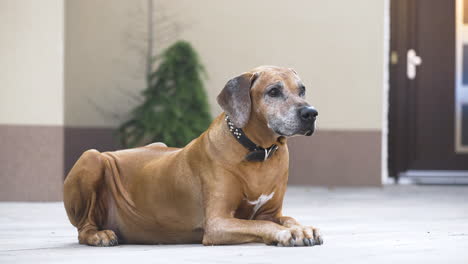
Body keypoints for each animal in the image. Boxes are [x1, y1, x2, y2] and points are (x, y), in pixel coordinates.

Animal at [64, 65, 322, 246]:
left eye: (302, 89)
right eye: (273, 91)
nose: (311, 113)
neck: (258, 152)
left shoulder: (270, 212)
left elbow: (286, 218)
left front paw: (300, 227)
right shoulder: (218, 223)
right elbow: (263, 226)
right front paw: (286, 233)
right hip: (92, 158)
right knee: (83, 228)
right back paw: (99, 236)